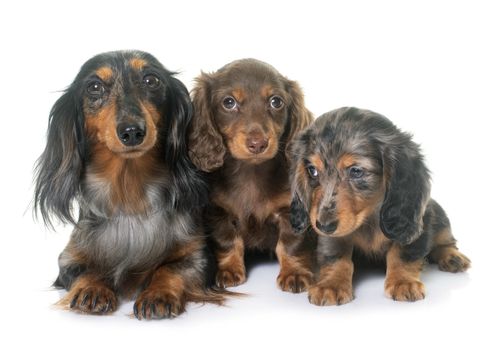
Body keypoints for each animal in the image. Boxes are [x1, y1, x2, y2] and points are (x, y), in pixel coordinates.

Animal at [34, 50, 225, 320]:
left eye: (151, 80)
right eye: (94, 87)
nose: (132, 131)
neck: (130, 195)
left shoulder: (198, 255)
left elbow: (169, 269)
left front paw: (157, 294)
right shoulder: (69, 258)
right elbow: (86, 270)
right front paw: (92, 289)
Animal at [186, 59, 314, 290]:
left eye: (276, 102)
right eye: (229, 102)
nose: (258, 144)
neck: (251, 174)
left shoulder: (291, 211)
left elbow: (290, 244)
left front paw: (294, 272)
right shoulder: (218, 212)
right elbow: (228, 241)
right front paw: (229, 270)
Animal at [288, 107, 468, 306]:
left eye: (356, 171)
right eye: (312, 171)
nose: (323, 226)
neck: (369, 216)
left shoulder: (414, 223)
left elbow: (402, 253)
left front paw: (403, 281)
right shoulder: (334, 234)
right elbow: (336, 254)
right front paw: (331, 284)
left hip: (438, 214)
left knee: (445, 240)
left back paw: (452, 256)